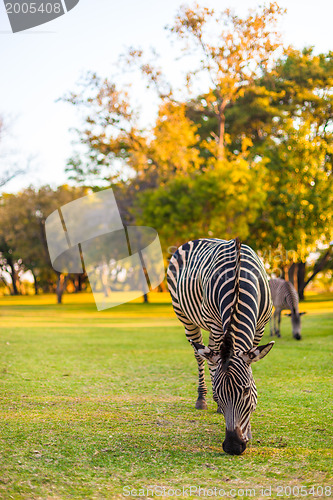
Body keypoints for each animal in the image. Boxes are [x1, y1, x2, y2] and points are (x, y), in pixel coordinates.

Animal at [166, 236, 272, 456]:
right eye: (222, 392)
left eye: (246, 391)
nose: (233, 446)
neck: (238, 281)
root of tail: (196, 239)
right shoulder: (216, 324)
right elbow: (214, 369)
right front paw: (216, 401)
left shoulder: (260, 327)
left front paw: (249, 430)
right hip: (186, 317)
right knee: (200, 356)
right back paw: (202, 399)